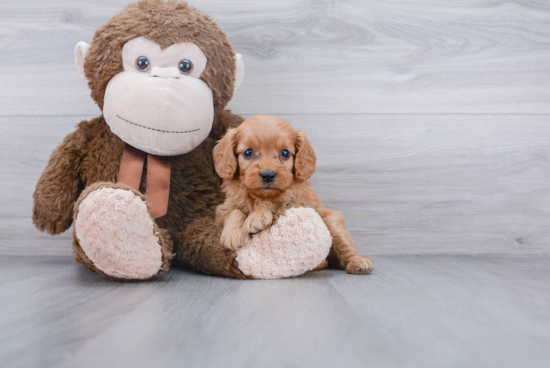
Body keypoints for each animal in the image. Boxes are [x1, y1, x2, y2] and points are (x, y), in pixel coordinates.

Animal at [213, 114, 374, 274]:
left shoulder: (295, 198)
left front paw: (257, 216)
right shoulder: (223, 209)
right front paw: (233, 234)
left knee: (343, 249)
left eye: (285, 153)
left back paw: (358, 262)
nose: (268, 175)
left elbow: (275, 200)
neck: (259, 196)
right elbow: (233, 211)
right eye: (248, 152)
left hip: (333, 223)